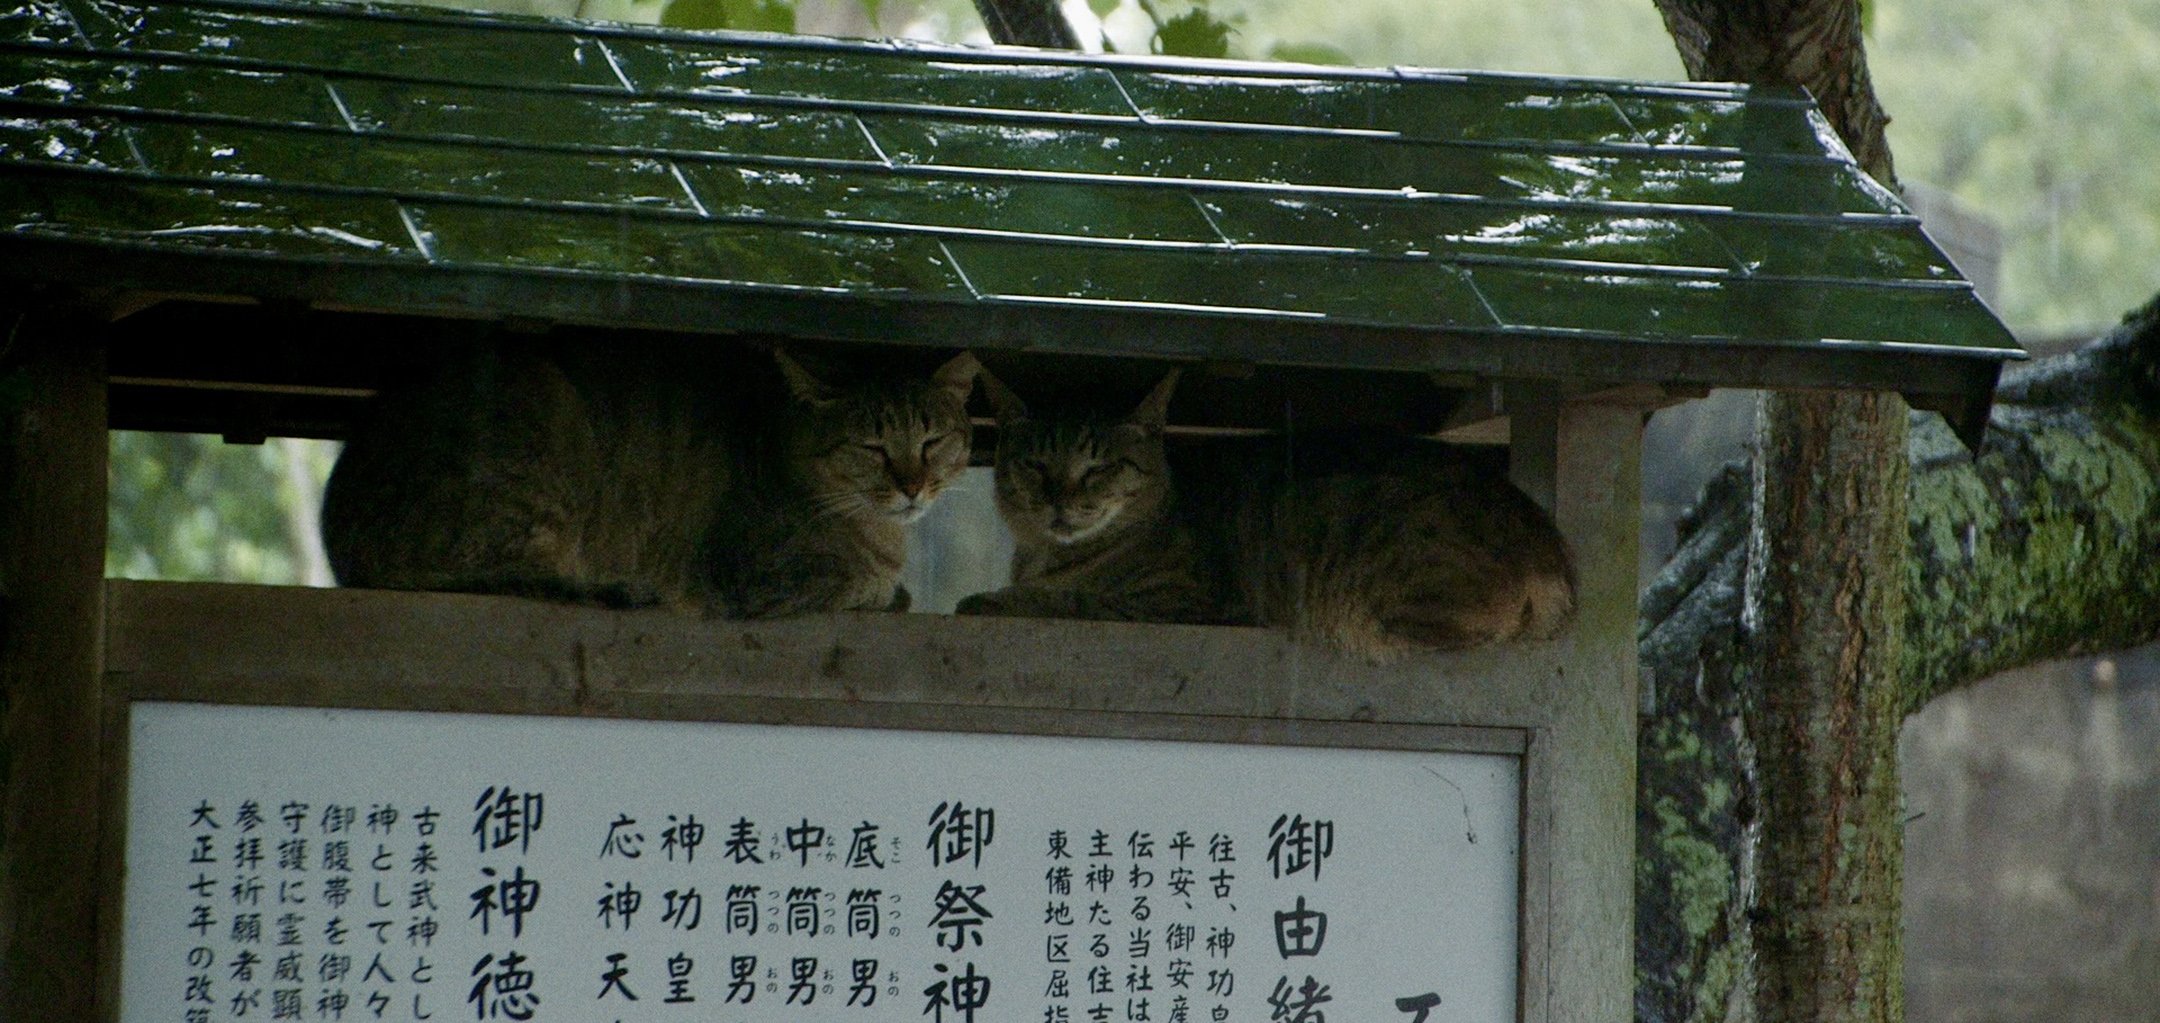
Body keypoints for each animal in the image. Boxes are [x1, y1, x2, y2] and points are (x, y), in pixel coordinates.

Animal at [319, 341, 980, 617]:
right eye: (872, 445)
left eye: (931, 440)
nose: (912, 486)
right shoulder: (746, 575)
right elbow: (858, 581)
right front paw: (887, 589)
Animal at [959, 366, 1572, 656]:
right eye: (1035, 464)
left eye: (1099, 467)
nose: (1058, 500)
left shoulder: (1187, 602)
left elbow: (1074, 597)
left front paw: (993, 598)